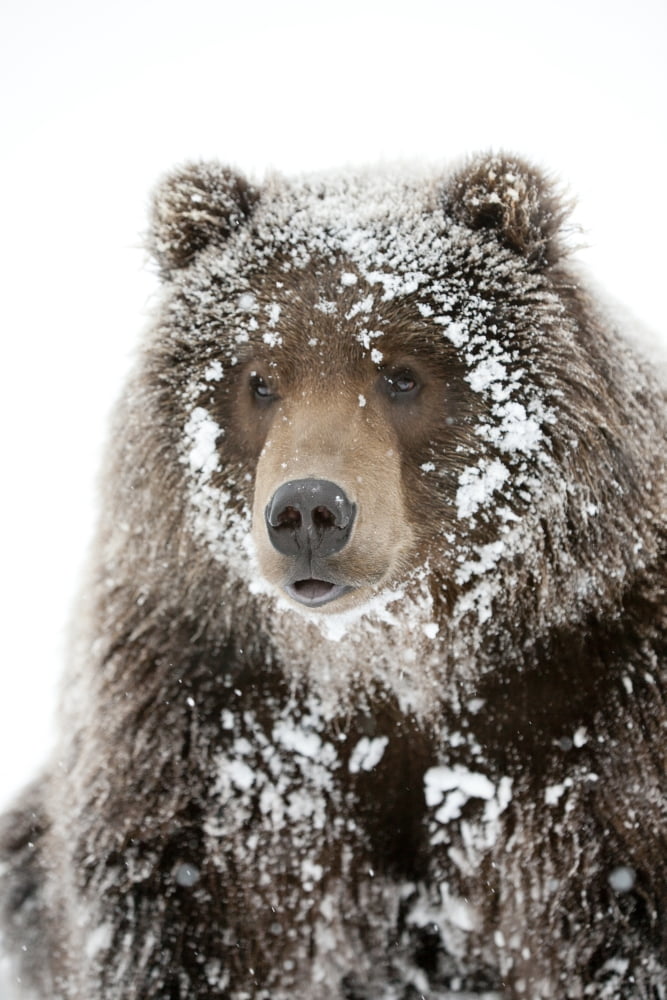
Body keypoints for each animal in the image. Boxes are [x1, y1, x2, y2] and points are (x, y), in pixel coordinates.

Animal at [0, 152, 666, 1000]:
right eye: (258, 378)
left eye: (402, 374)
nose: (308, 511)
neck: (388, 658)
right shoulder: (205, 718)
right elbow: (191, 912)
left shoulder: (593, 698)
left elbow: (615, 900)